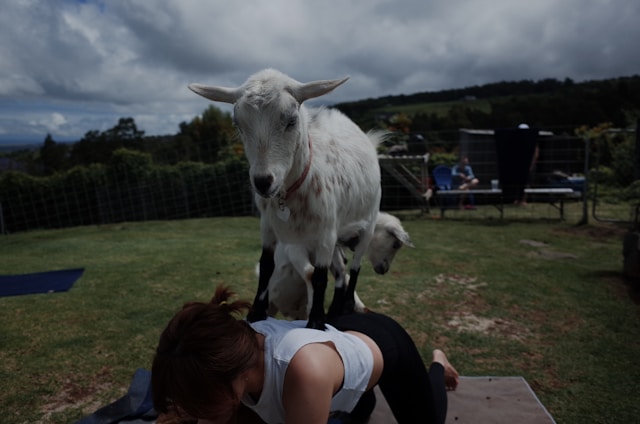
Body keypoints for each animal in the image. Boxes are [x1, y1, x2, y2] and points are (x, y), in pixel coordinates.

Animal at [189, 68, 380, 330]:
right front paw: (255, 314)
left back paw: (348, 305)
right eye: (238, 124)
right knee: (341, 269)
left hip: (367, 222)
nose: (263, 181)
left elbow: (319, 277)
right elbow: (267, 267)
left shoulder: (325, 232)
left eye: (291, 120)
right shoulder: (268, 226)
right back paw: (335, 310)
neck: (289, 196)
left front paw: (316, 322)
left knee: (356, 265)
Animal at [266, 212, 416, 318]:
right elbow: (310, 273)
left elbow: (343, 274)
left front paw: (358, 307)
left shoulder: (331, 256)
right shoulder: (295, 250)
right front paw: (314, 308)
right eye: (395, 244)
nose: (384, 270)